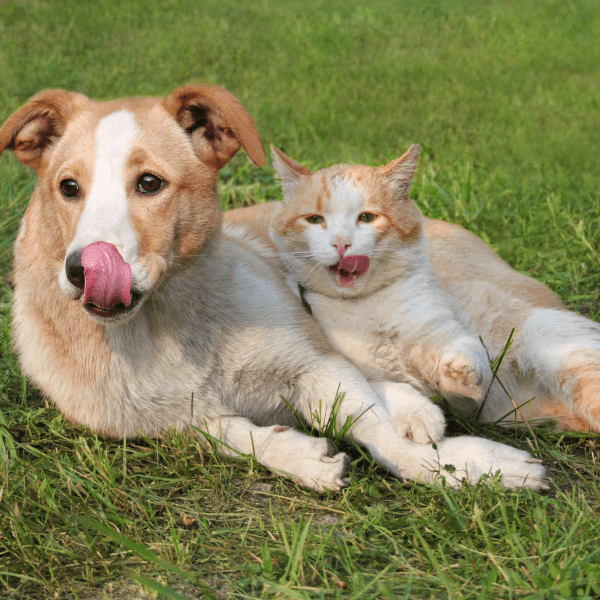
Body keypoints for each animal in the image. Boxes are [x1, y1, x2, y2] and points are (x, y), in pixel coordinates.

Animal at [0, 86, 548, 490]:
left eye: (150, 183)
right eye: (68, 188)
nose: (80, 271)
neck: (166, 327)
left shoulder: (314, 364)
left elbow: (380, 433)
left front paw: (466, 468)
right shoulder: (174, 423)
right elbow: (233, 434)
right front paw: (299, 455)